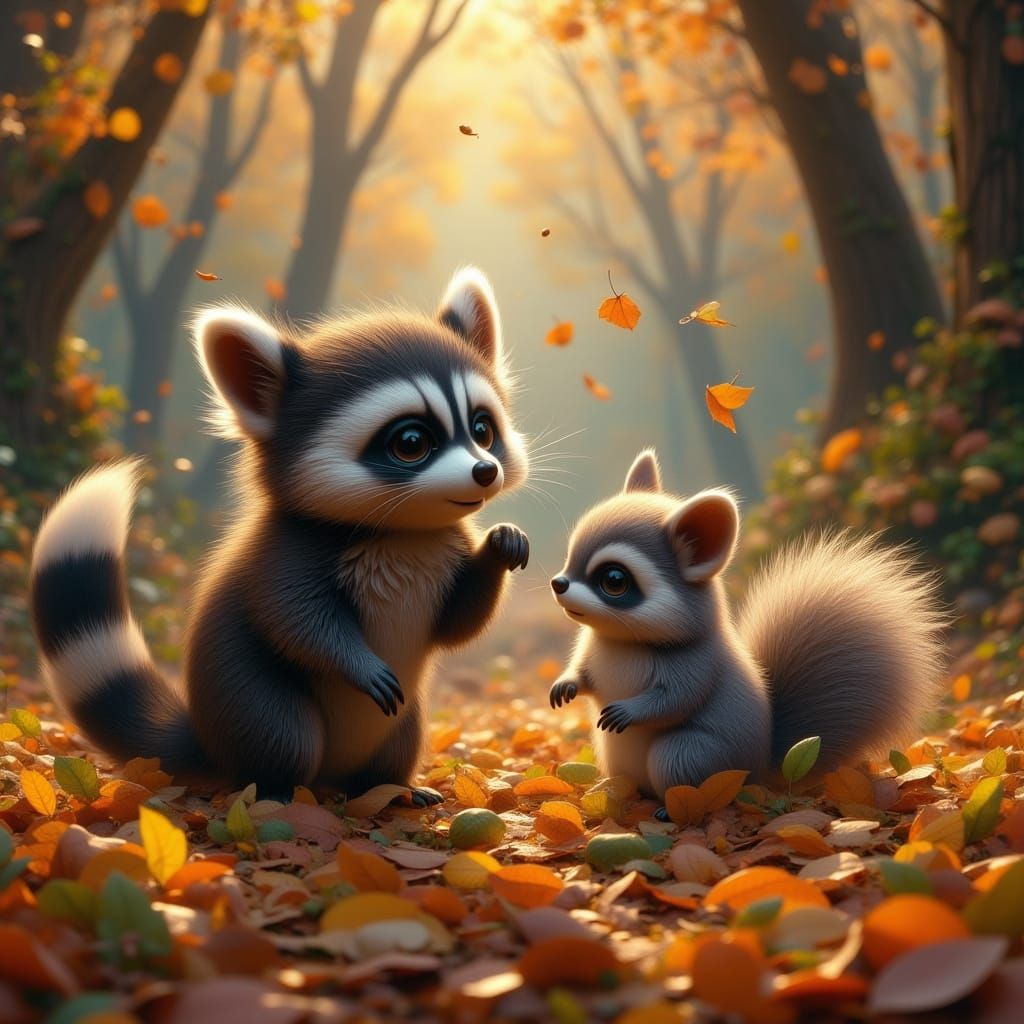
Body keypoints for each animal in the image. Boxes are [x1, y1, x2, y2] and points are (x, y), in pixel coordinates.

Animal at [31, 267, 530, 804]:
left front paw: (497, 548)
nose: (485, 471)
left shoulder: (443, 552)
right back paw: (276, 791)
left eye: (482, 429)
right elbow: (295, 618)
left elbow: (458, 621)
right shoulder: (285, 552)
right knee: (283, 730)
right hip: (245, 697)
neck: (404, 531)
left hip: (403, 719)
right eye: (411, 443)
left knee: (402, 735)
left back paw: (387, 785)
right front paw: (355, 660)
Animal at [547, 449, 945, 808]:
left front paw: (631, 710)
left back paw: (673, 808)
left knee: (681, 764)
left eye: (614, 580)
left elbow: (675, 700)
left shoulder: (696, 664)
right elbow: (585, 673)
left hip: (695, 757)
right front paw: (567, 683)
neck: (620, 640)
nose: (558, 583)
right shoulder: (590, 648)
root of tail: (761, 768)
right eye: (569, 555)